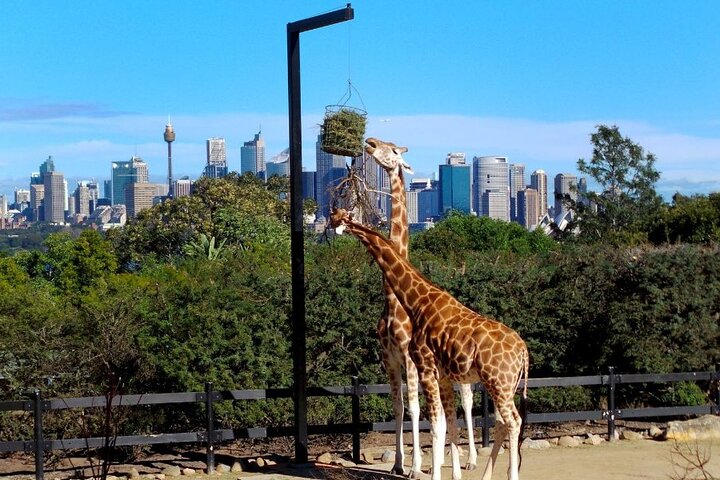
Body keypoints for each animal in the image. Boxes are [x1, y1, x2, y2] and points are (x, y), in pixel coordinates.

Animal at [330, 209, 528, 480]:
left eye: (337, 218)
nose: (330, 228)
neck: (417, 303)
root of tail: (523, 351)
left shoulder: (424, 367)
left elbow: (434, 424)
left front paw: (428, 471)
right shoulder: (442, 376)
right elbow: (449, 424)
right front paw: (454, 474)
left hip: (499, 382)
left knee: (513, 422)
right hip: (503, 385)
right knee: (501, 422)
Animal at [366, 136, 478, 476]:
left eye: (393, 150)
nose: (369, 142)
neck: (393, 302)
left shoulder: (411, 360)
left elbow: (417, 410)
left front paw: (416, 466)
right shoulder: (389, 359)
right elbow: (399, 407)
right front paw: (398, 463)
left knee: (466, 401)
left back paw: (469, 460)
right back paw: (444, 459)